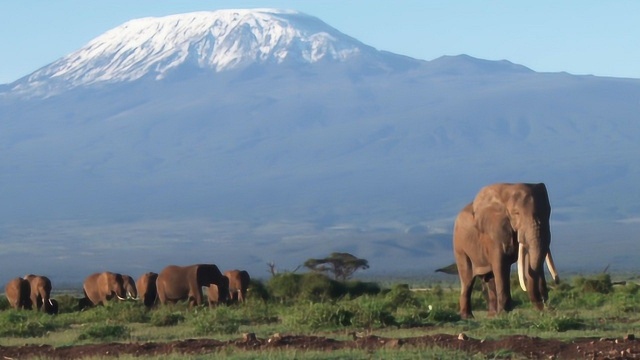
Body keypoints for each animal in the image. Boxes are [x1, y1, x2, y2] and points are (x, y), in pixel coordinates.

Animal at [452, 183, 556, 318]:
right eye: (516, 213)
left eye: (548, 212)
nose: (546, 303)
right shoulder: (494, 233)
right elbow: (500, 264)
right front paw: (504, 313)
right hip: (459, 246)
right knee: (467, 279)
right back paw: (468, 317)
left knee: (490, 278)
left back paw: (492, 315)